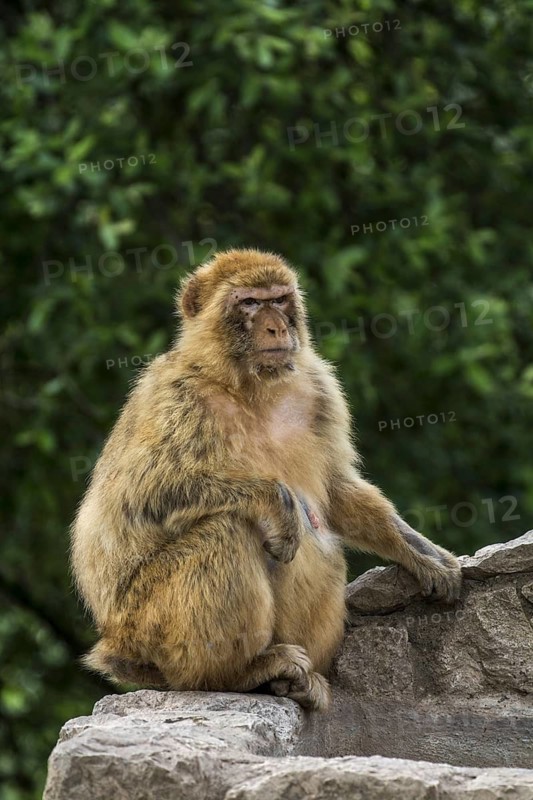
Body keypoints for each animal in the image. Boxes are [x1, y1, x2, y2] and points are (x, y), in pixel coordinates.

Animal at [71, 248, 462, 711]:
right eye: (250, 303)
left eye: (279, 299)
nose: (276, 326)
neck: (248, 385)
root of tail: (117, 645)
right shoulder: (175, 397)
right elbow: (143, 493)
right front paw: (273, 499)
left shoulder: (318, 387)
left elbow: (337, 491)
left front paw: (420, 553)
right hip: (147, 627)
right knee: (225, 530)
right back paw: (238, 672)